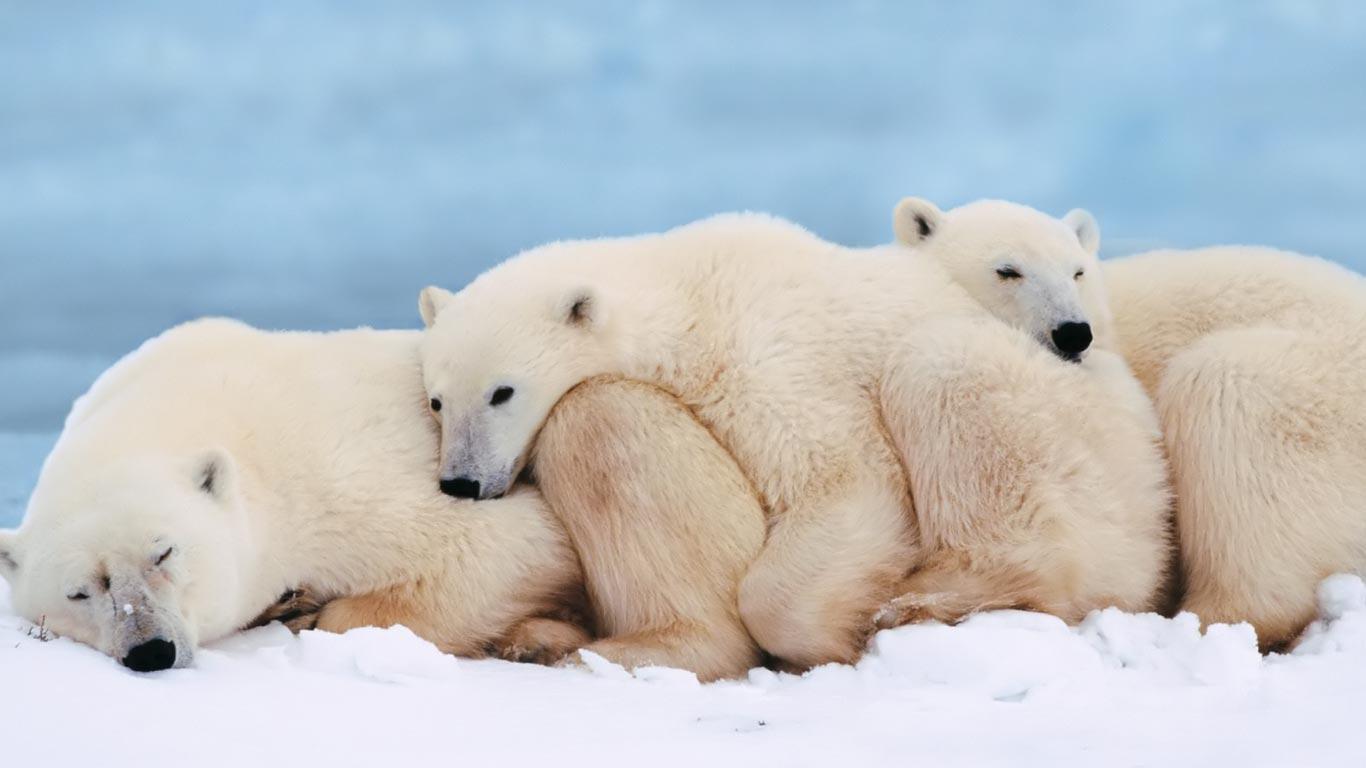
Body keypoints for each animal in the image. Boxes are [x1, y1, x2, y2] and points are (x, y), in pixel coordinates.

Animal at [416, 212, 1173, 669]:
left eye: (502, 391)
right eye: (437, 399)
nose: (461, 482)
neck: (688, 293)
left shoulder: (766, 355)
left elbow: (844, 481)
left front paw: (831, 637)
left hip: (1074, 439)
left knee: (943, 371)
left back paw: (931, 598)